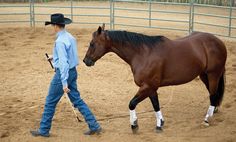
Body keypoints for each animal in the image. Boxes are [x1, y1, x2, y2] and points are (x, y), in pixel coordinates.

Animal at [82, 23, 227, 134]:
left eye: (92, 43)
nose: (85, 61)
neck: (143, 54)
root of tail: (218, 41)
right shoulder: (151, 88)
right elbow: (156, 105)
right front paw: (159, 124)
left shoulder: (147, 86)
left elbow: (131, 104)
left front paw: (134, 125)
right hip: (204, 75)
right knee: (213, 95)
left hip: (213, 74)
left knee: (213, 95)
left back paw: (207, 120)